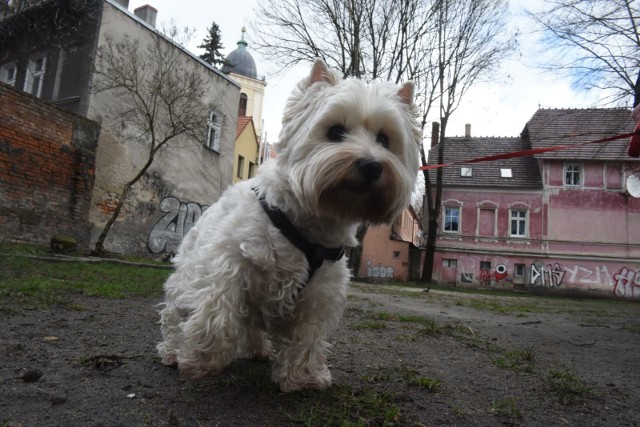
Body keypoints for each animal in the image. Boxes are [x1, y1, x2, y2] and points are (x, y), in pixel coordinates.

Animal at [157, 58, 420, 392]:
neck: (308, 223)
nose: (371, 165)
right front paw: (201, 360)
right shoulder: (227, 267)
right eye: (335, 131)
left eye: (385, 139)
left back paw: (258, 349)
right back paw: (171, 352)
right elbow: (217, 313)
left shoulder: (318, 292)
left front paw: (302, 377)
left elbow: (305, 336)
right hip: (185, 278)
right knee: (174, 315)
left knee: (251, 325)